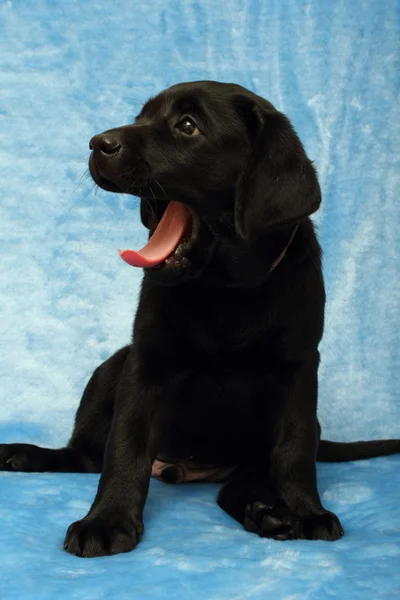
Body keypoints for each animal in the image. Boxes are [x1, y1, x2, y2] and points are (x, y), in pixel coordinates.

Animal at [0, 81, 400, 556]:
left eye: (187, 126)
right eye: (140, 118)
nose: (98, 143)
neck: (224, 288)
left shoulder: (299, 367)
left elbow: (295, 449)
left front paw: (306, 511)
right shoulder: (145, 360)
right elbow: (124, 446)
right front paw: (106, 521)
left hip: (250, 453)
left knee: (242, 482)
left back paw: (267, 511)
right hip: (111, 366)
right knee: (86, 455)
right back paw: (24, 454)